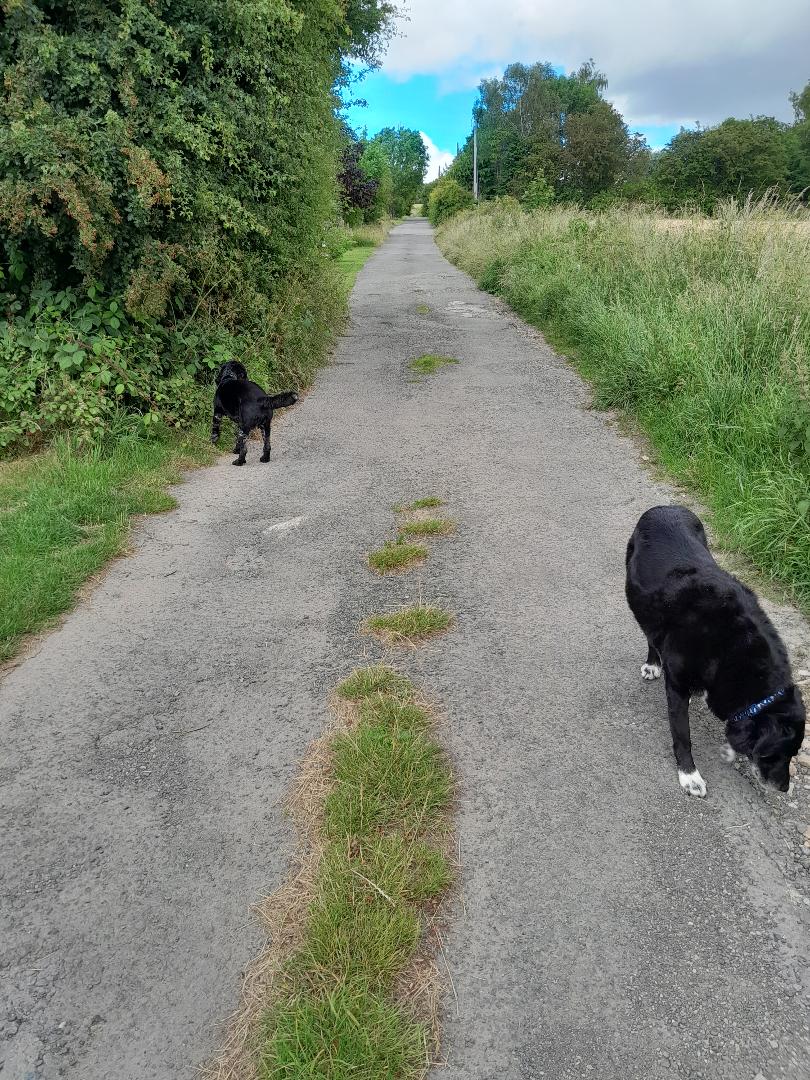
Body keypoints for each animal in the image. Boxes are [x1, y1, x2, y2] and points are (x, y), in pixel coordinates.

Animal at [626, 501, 807, 799]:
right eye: (773, 755)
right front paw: (689, 775)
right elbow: (682, 735)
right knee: (651, 635)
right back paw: (653, 663)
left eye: (794, 754)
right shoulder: (678, 685)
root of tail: (665, 507)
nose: (783, 789)